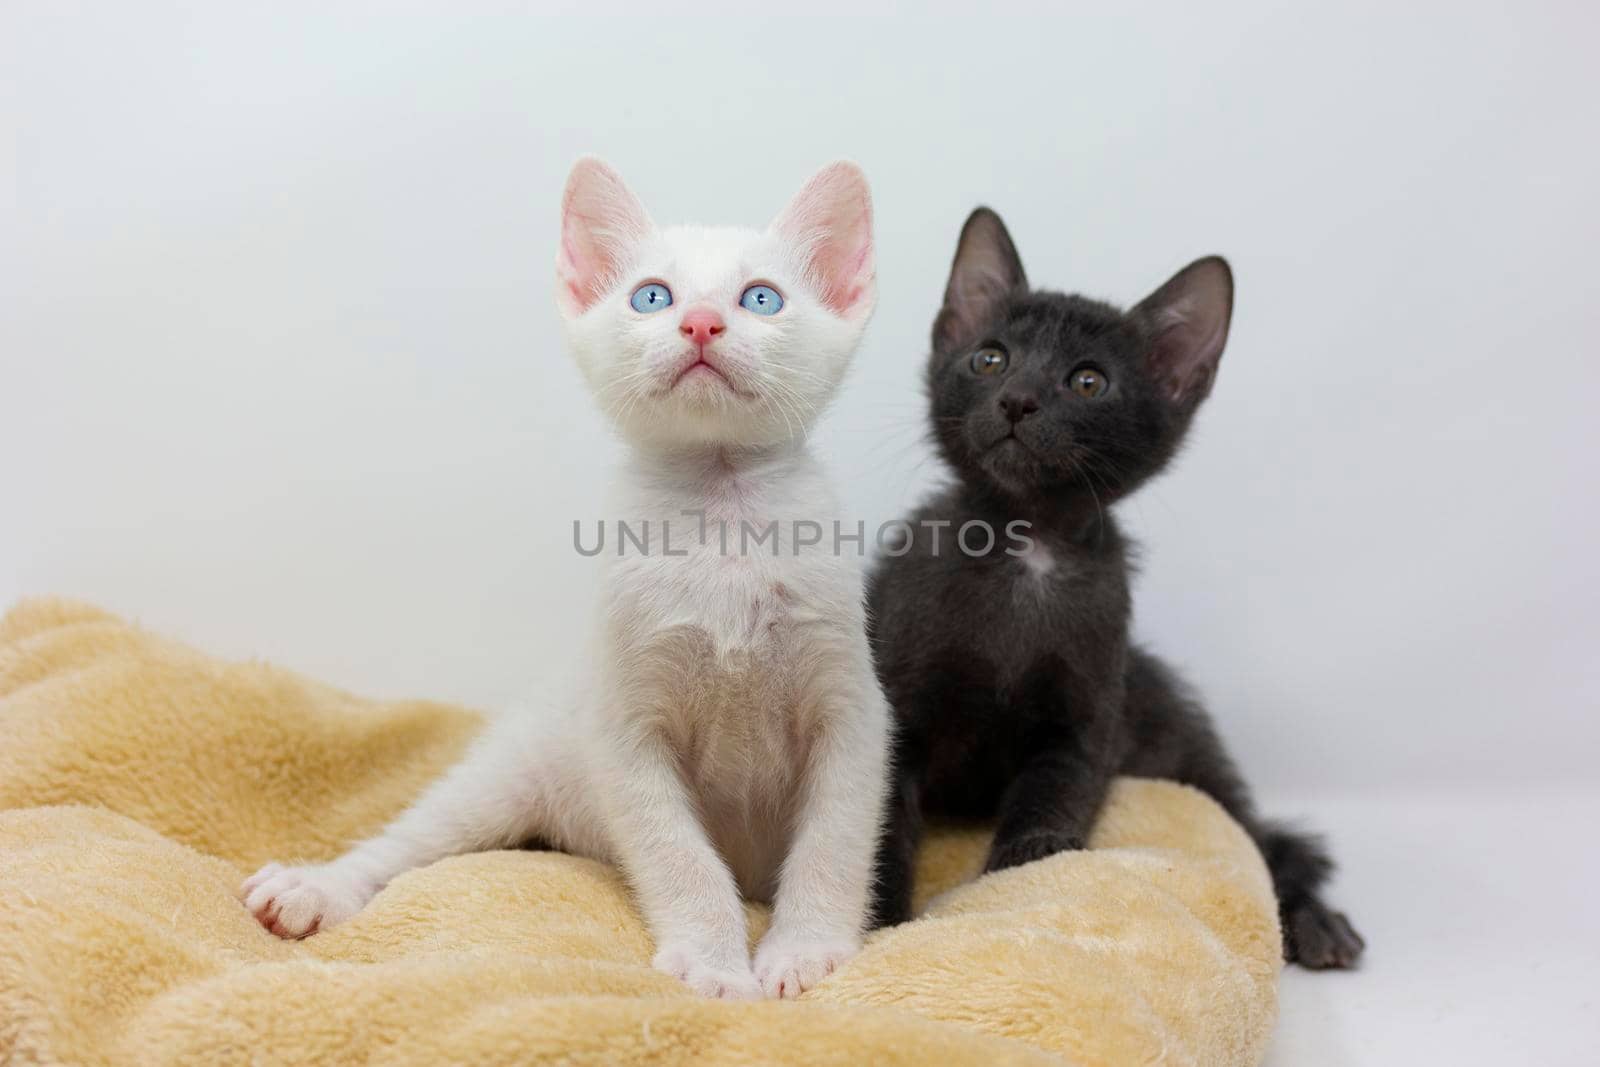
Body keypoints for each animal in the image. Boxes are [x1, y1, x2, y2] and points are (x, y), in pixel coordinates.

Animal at [238, 156, 896, 1004]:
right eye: (652, 296)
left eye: (761, 298)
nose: (700, 323)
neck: (722, 515)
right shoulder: (623, 725)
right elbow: (681, 857)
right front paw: (716, 964)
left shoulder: (852, 710)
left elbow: (834, 840)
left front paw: (803, 951)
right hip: (514, 764)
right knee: (413, 840)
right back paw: (317, 887)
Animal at [870, 207, 1369, 966]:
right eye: (990, 358)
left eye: (1087, 383)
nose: (1017, 401)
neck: (1029, 547)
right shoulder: (894, 705)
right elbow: (878, 825)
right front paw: (876, 925)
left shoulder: (1084, 718)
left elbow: (1054, 794)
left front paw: (1020, 877)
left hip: (1176, 733)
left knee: (1258, 836)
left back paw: (1313, 920)